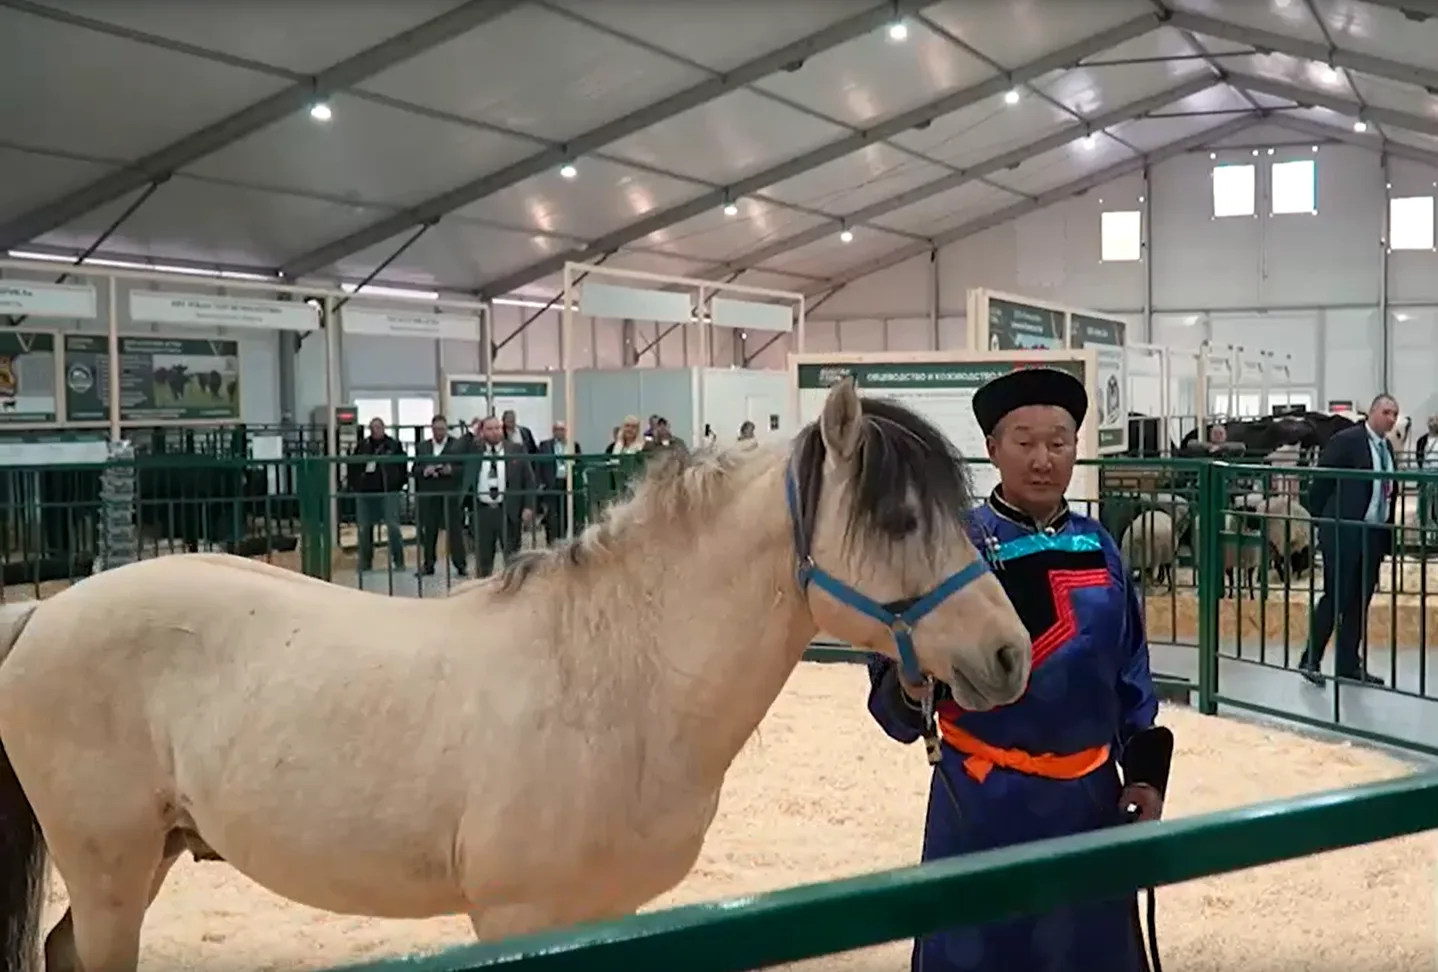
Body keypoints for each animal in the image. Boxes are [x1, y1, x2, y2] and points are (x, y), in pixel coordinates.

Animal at [0, 379, 1031, 972]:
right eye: (899, 519)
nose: (1009, 654)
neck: (616, 677)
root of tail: (44, 613)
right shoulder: (520, 918)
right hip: (110, 868)